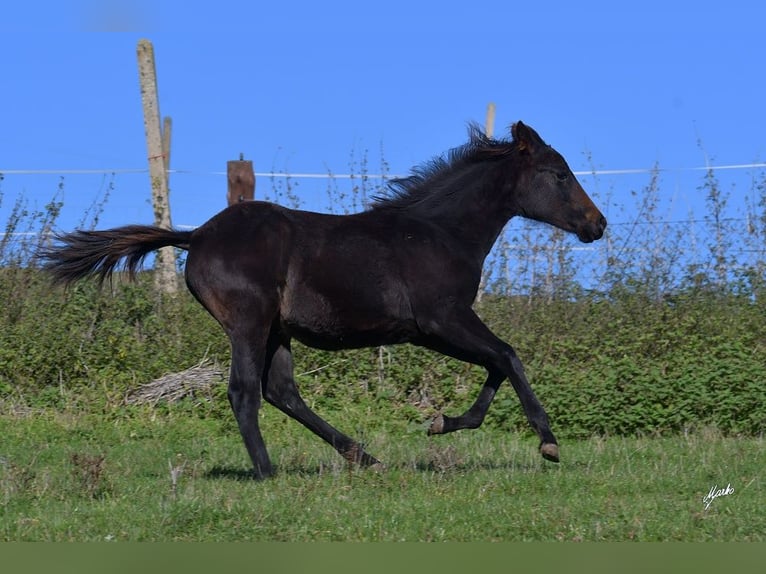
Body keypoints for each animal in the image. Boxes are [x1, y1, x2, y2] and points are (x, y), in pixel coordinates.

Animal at [40, 122, 608, 482]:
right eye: (559, 174)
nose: (597, 224)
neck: (441, 232)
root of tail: (195, 236)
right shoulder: (440, 320)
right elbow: (507, 355)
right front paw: (547, 441)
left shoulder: (437, 328)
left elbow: (496, 363)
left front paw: (443, 422)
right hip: (249, 321)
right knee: (245, 391)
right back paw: (268, 473)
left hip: (277, 330)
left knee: (282, 391)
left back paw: (363, 457)